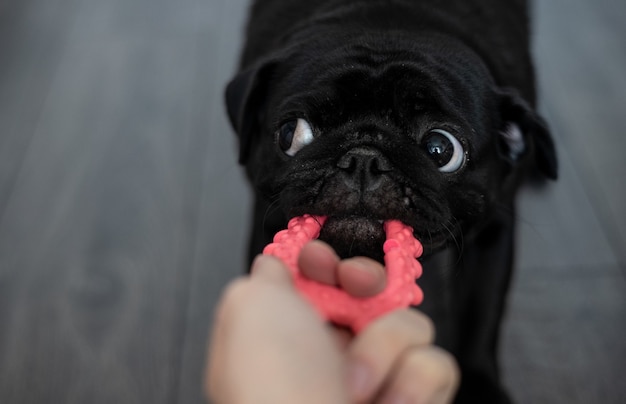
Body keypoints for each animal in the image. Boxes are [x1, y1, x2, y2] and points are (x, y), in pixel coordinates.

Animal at [224, 1, 556, 402]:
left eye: (441, 149)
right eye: (292, 133)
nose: (363, 158)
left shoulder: (494, 230)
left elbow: (481, 309)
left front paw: (480, 386)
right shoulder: (268, 219)